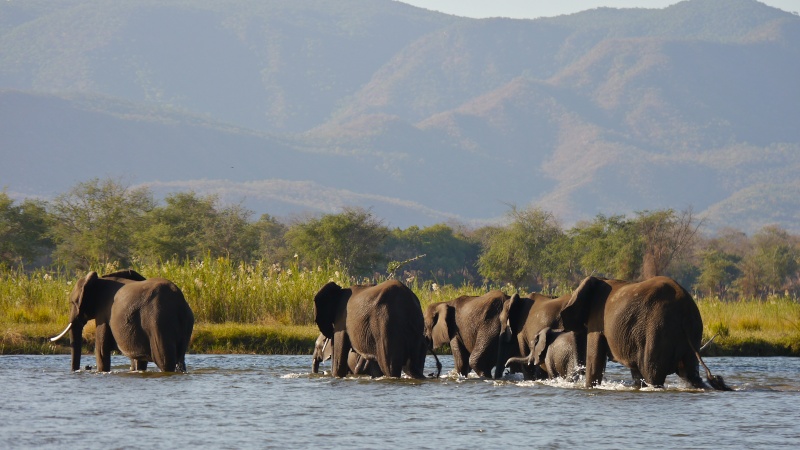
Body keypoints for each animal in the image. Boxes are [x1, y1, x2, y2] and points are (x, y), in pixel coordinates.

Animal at [51, 270, 194, 372]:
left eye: (72, 303)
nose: (83, 368)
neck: (99, 279)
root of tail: (179, 302)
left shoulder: (103, 313)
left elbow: (101, 350)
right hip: (185, 322)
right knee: (180, 359)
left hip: (158, 321)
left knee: (164, 360)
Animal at [312, 280, 440, 378]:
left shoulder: (341, 320)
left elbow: (338, 362)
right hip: (415, 325)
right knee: (412, 367)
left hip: (385, 324)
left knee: (390, 366)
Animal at [556, 274, 732, 390]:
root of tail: (685, 309)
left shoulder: (597, 318)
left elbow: (595, 361)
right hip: (692, 333)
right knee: (690, 374)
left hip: (658, 330)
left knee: (652, 373)